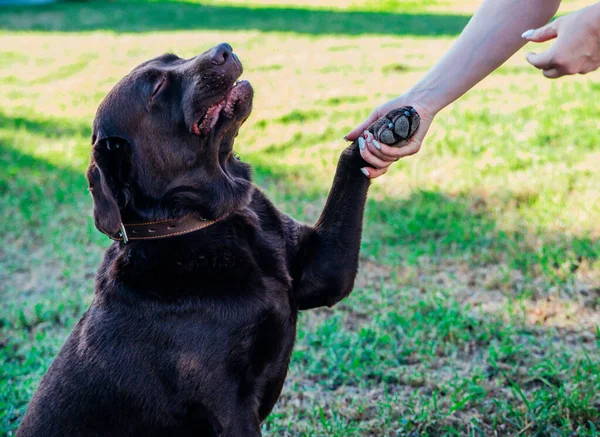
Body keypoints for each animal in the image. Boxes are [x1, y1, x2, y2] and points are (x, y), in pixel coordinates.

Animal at [17, 44, 418, 436]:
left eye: (174, 57)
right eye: (157, 88)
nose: (224, 49)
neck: (206, 220)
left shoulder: (323, 272)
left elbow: (349, 165)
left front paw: (388, 126)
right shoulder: (229, 407)